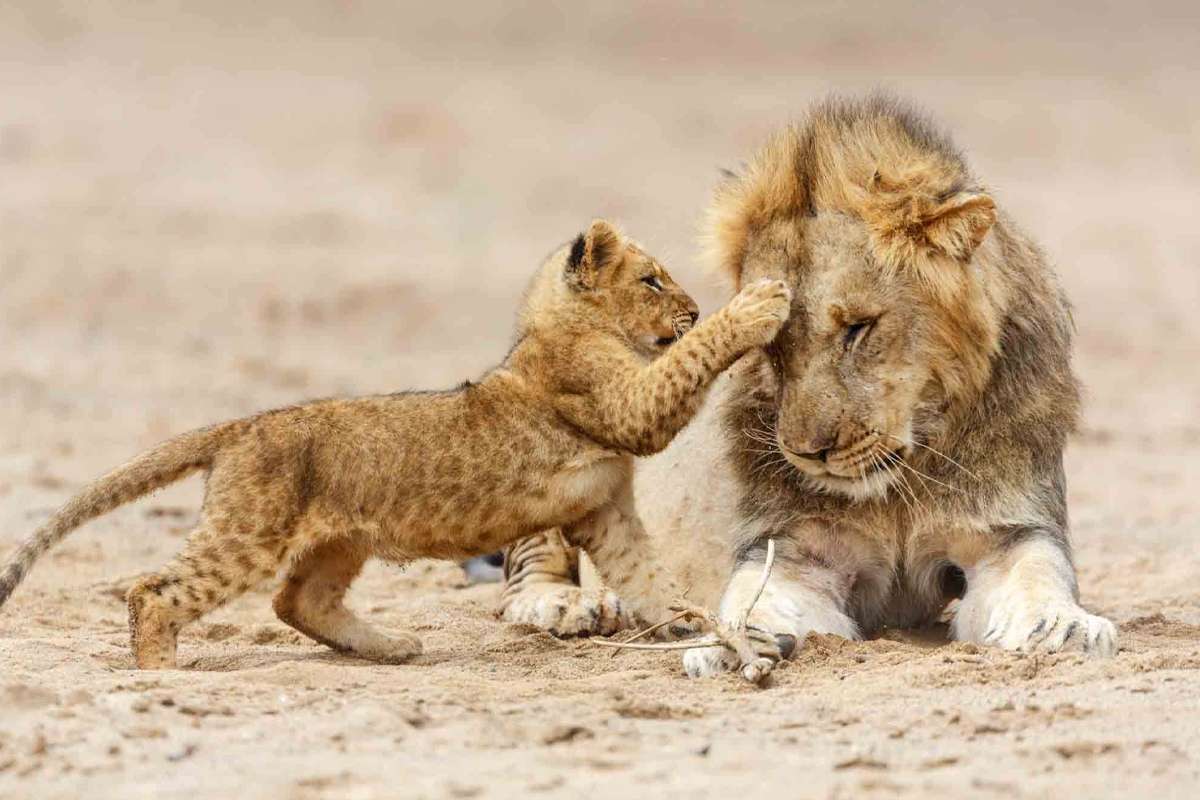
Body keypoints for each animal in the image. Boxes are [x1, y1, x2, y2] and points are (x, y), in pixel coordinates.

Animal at [494, 92, 1113, 676]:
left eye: (858, 328)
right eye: (770, 343)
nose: (808, 453)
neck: (900, 482)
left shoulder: (1008, 531)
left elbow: (1038, 575)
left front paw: (1064, 629)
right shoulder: (793, 550)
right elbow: (756, 597)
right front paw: (732, 641)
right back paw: (569, 606)